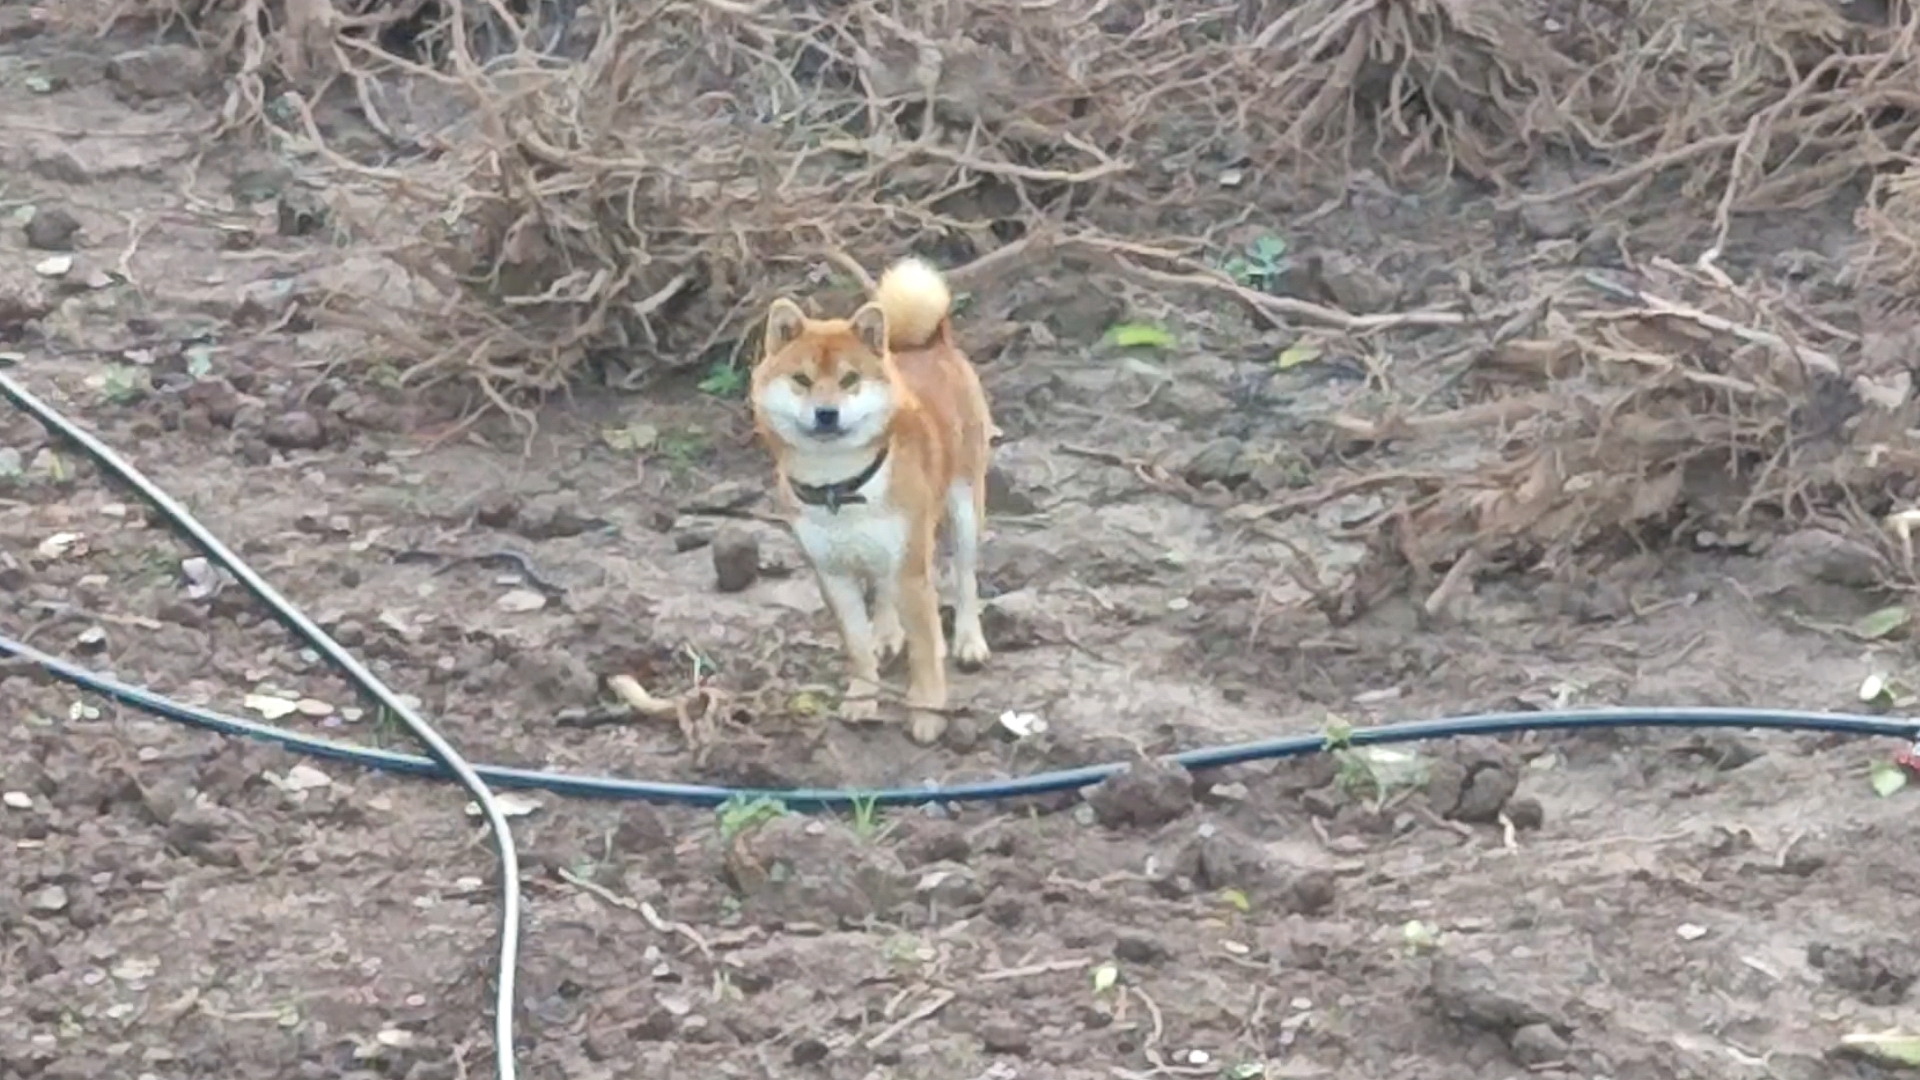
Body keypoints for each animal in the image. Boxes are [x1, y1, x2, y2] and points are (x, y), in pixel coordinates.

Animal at [744, 257, 998, 745]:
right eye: (802, 380)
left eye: (849, 379)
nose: (827, 414)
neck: (839, 487)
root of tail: (933, 342)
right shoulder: (832, 573)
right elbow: (857, 646)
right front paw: (862, 697)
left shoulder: (911, 569)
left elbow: (925, 649)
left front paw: (927, 711)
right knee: (882, 591)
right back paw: (886, 633)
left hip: (963, 509)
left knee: (964, 578)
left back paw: (968, 641)